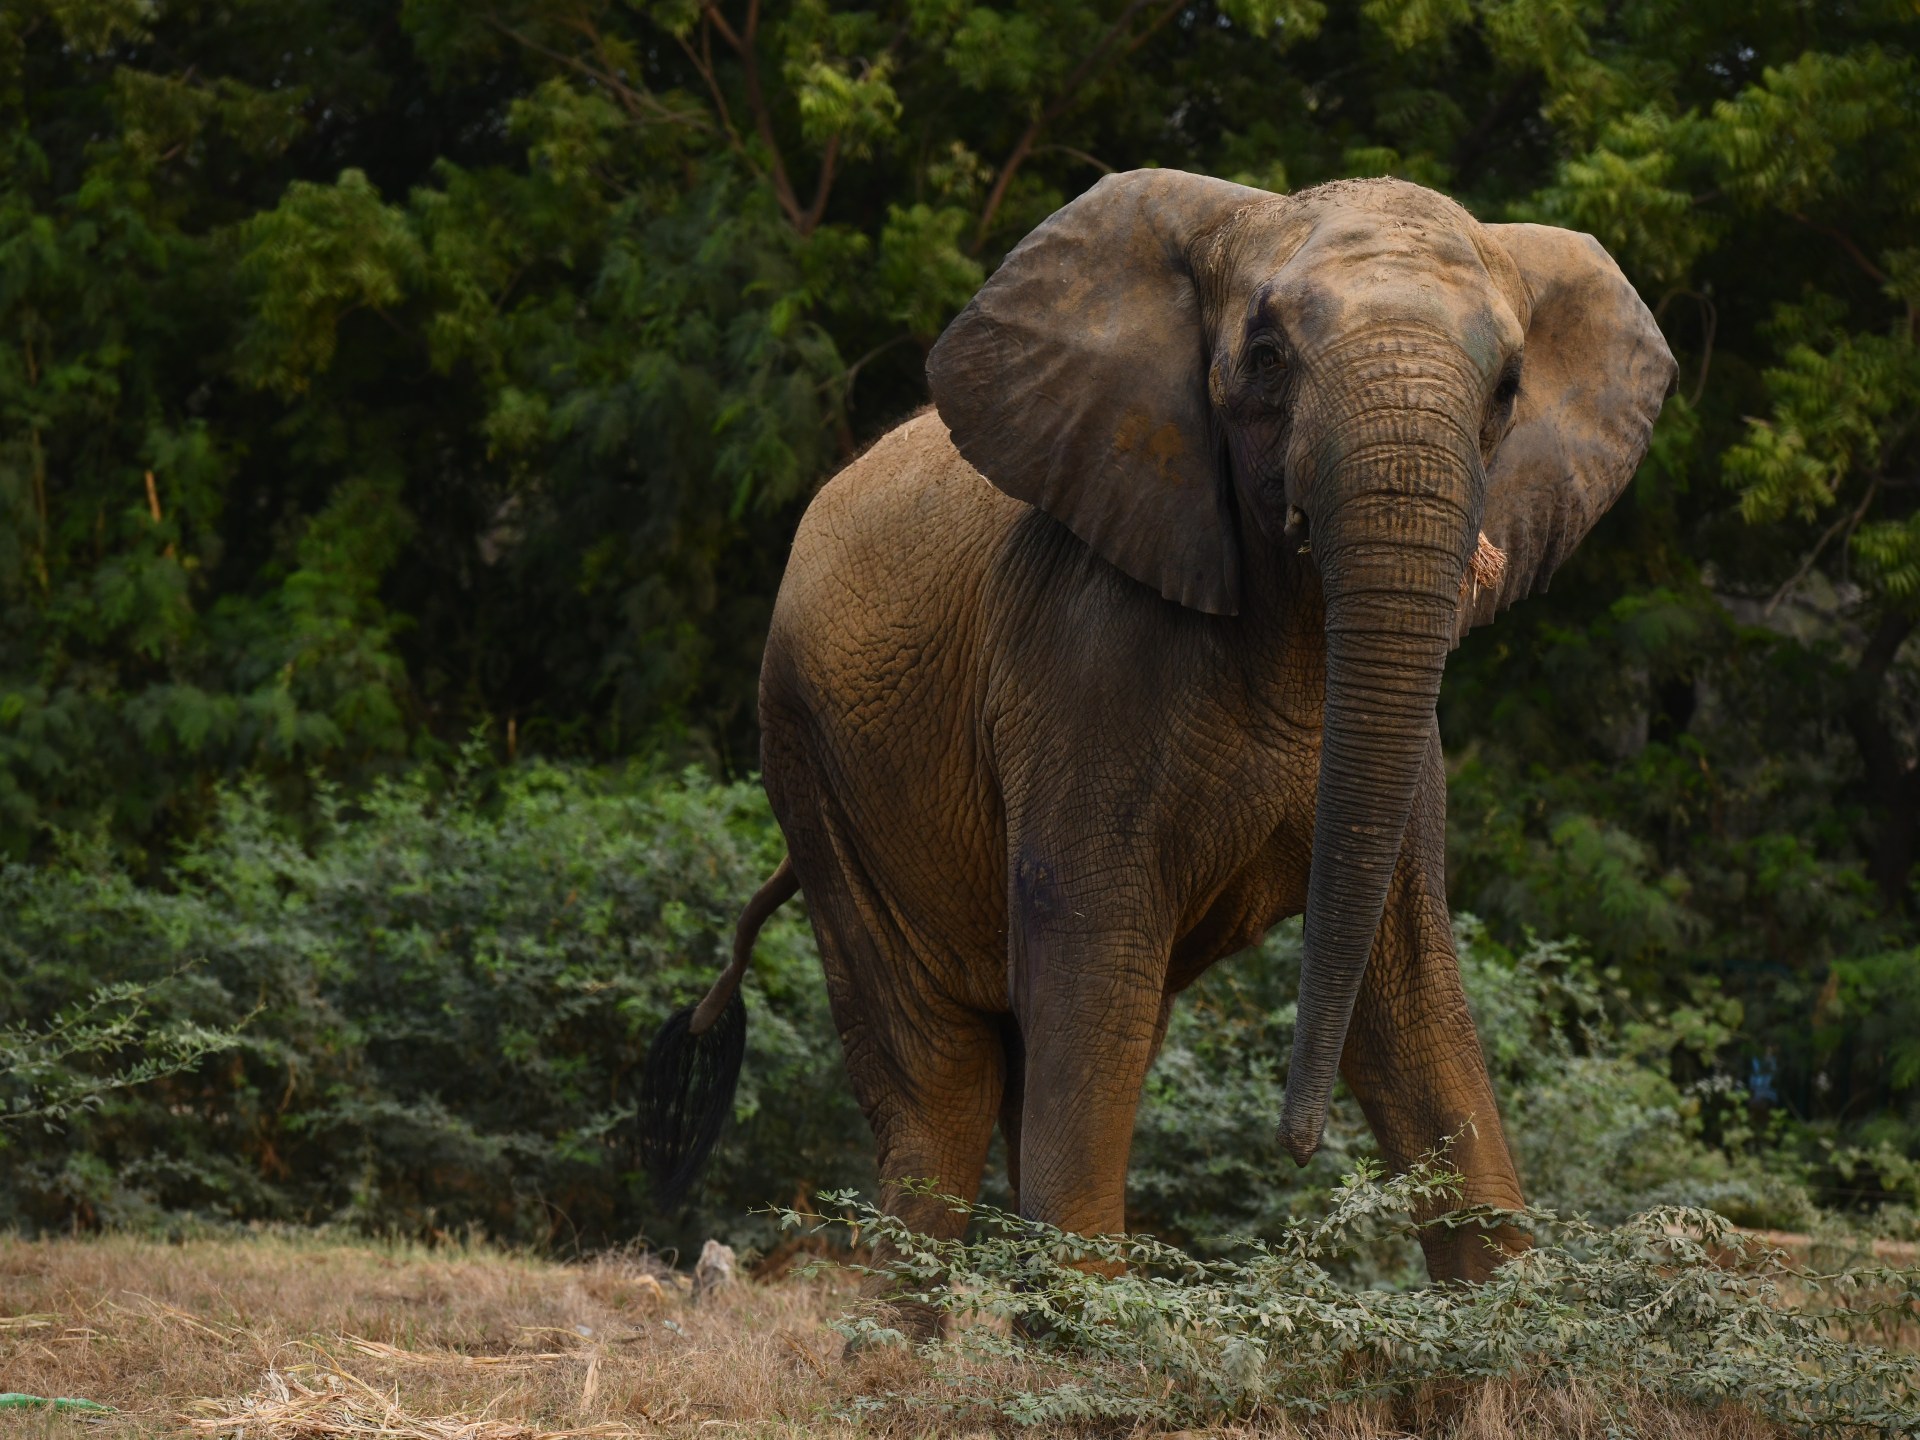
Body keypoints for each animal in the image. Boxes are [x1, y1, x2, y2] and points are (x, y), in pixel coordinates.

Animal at [642, 169, 1674, 1316]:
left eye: (1507, 390)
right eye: (1265, 358)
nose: (1297, 1150)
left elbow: (1410, 992)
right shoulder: (1080, 655)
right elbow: (1094, 950)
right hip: (815, 769)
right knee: (950, 1080)